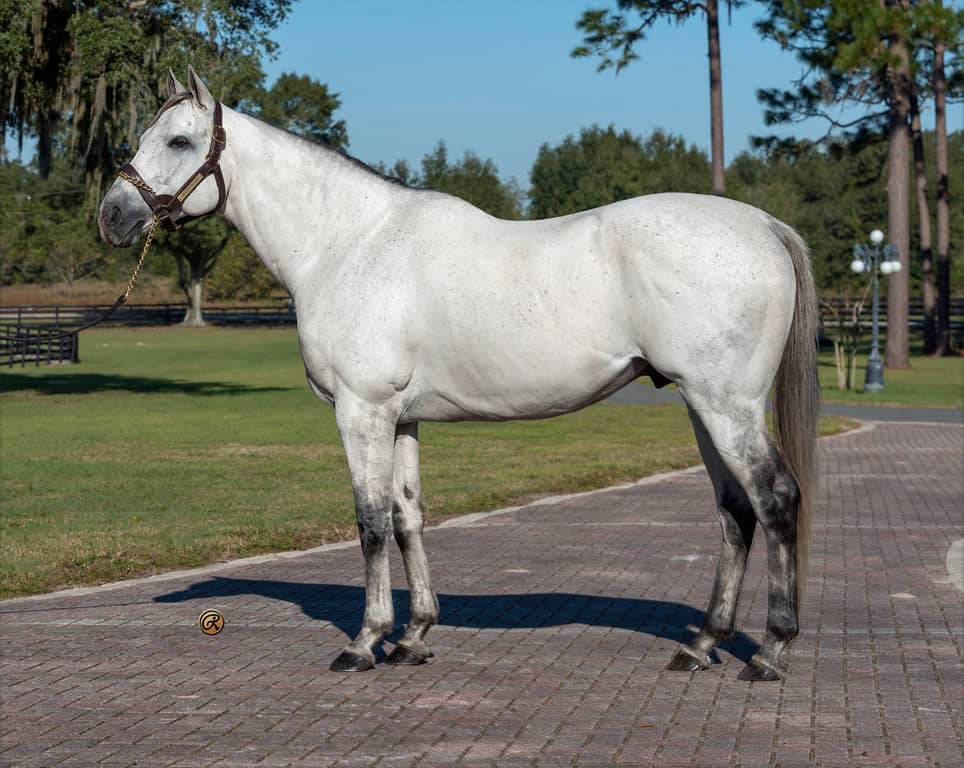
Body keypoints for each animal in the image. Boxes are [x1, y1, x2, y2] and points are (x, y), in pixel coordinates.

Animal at [99, 68, 819, 682]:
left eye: (179, 140)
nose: (111, 216)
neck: (348, 243)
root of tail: (762, 224)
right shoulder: (401, 419)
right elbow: (408, 517)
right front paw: (414, 636)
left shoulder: (361, 411)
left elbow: (369, 521)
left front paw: (365, 641)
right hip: (702, 406)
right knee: (734, 511)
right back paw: (701, 645)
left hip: (726, 405)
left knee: (775, 499)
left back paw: (772, 651)